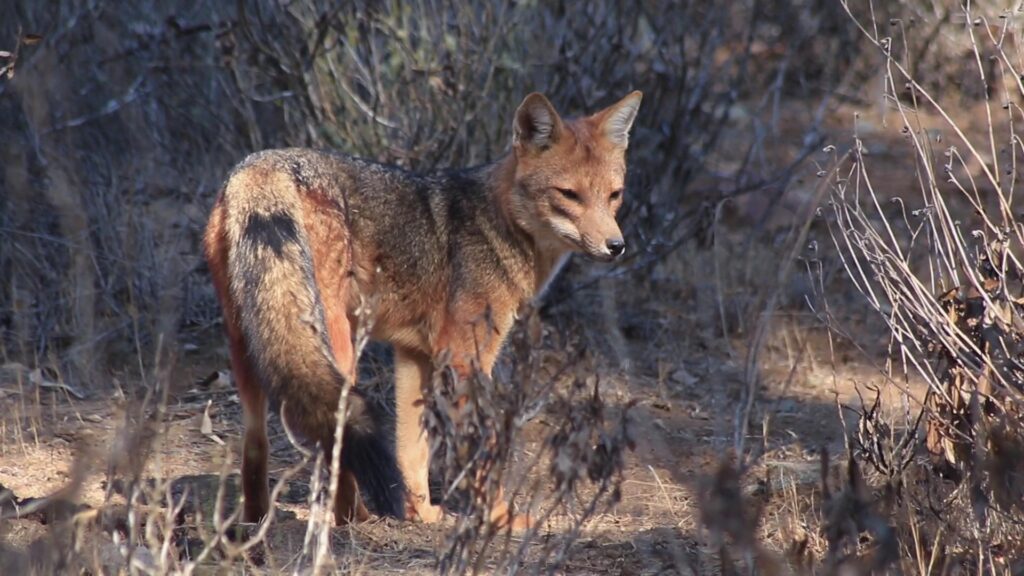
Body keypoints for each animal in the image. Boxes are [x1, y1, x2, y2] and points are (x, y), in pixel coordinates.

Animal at [201, 88, 638, 524]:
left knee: (255, 443)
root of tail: (261, 168)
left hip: (248, 347)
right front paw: (498, 519)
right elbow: (482, 453)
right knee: (334, 437)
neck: (497, 225)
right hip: (338, 346)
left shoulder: (414, 355)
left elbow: (412, 451)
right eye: (569, 195)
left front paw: (420, 513)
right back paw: (354, 518)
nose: (616, 247)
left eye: (614, 195)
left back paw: (256, 520)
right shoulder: (464, 359)